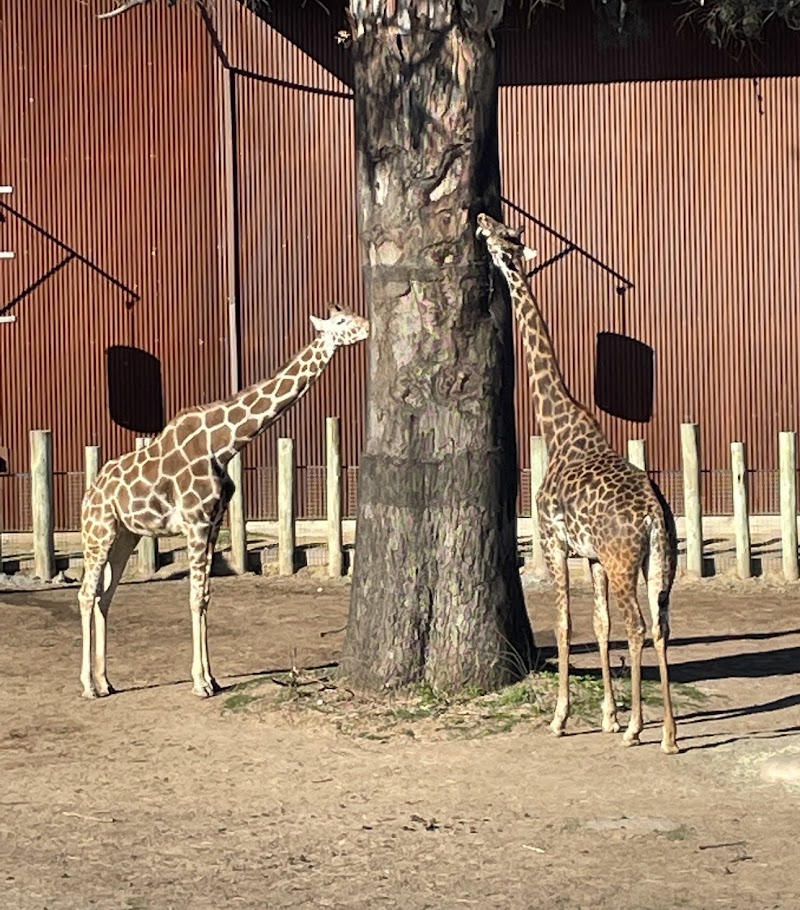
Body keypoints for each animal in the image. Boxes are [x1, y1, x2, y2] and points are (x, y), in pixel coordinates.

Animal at [78, 304, 369, 700]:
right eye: (341, 322)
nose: (367, 326)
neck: (225, 443)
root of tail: (89, 494)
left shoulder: (214, 523)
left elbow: (206, 596)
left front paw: (212, 678)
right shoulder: (196, 522)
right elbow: (194, 596)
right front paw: (200, 683)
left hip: (126, 535)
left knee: (104, 596)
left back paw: (105, 681)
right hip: (98, 533)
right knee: (85, 594)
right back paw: (87, 685)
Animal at [476, 212, 679, 755]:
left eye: (504, 236)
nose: (479, 218)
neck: (559, 425)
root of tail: (653, 516)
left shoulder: (553, 542)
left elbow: (566, 625)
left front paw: (562, 717)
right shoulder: (591, 556)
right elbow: (599, 625)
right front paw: (607, 714)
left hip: (625, 560)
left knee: (638, 626)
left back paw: (639, 730)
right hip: (660, 562)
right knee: (660, 626)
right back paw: (668, 734)